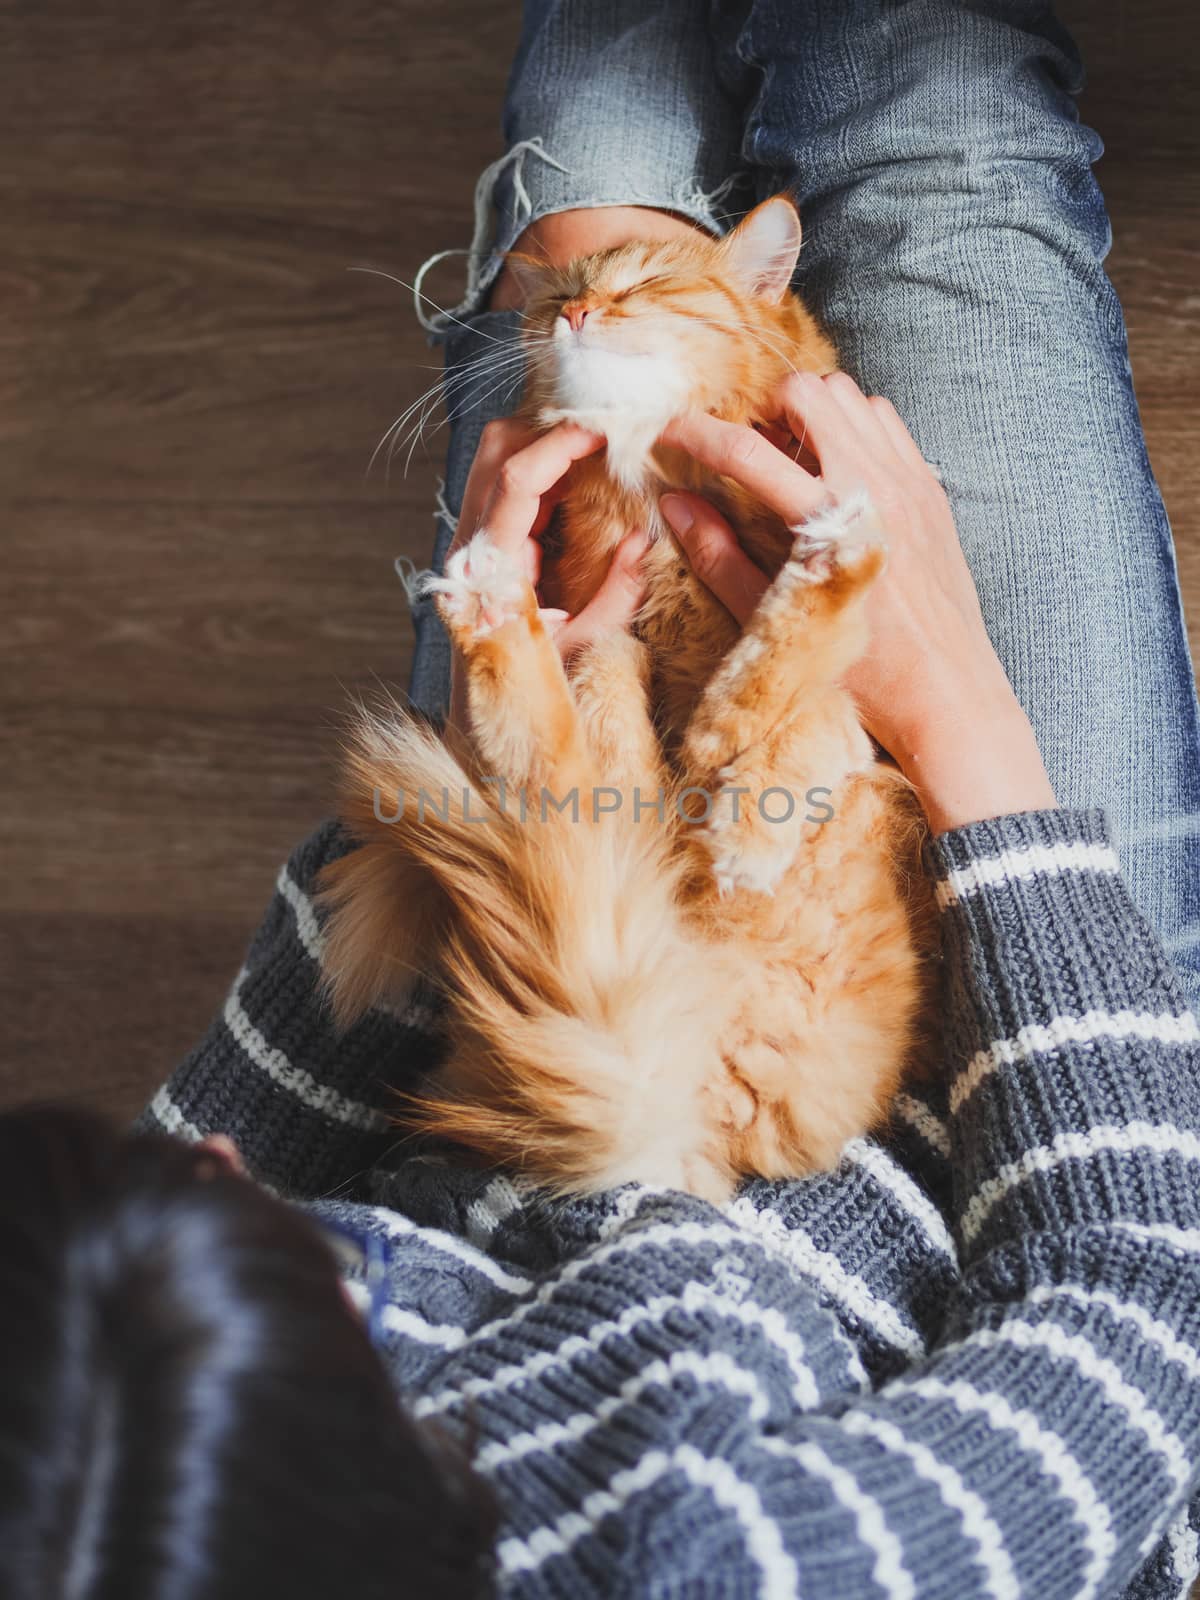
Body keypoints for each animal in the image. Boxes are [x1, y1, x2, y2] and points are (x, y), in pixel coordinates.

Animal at [316, 196, 940, 1203]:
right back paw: (492, 604)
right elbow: (643, 684)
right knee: (576, 771)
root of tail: (681, 1136)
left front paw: (747, 809)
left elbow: (793, 699)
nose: (575, 312)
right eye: (558, 296)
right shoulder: (615, 624)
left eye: (646, 283)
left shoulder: (850, 718)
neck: (652, 487)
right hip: (610, 844)